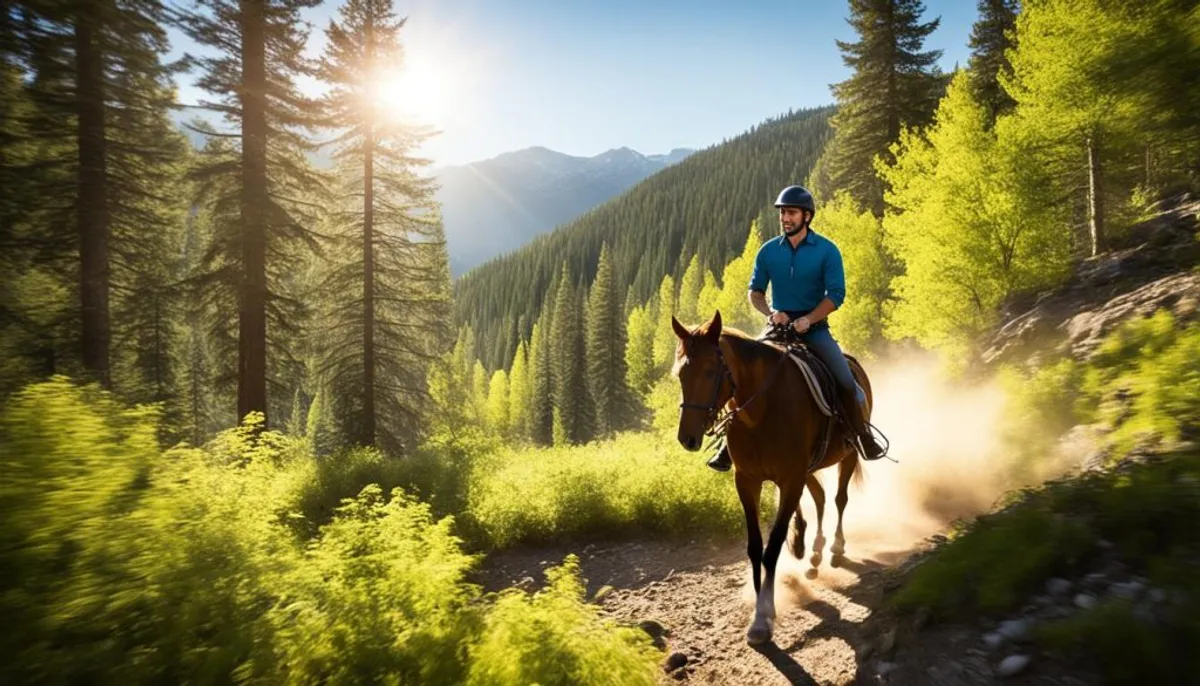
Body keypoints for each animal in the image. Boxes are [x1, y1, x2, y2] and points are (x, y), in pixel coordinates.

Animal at [667, 309, 873, 642]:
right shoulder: (747, 481)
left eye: (711, 371)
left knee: (839, 499)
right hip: (809, 469)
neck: (760, 413)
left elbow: (772, 547)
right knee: (820, 498)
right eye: (681, 374)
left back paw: (834, 549)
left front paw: (764, 615)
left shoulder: (790, 479)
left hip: (848, 455)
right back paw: (812, 552)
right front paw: (758, 609)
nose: (688, 437)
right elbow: (755, 547)